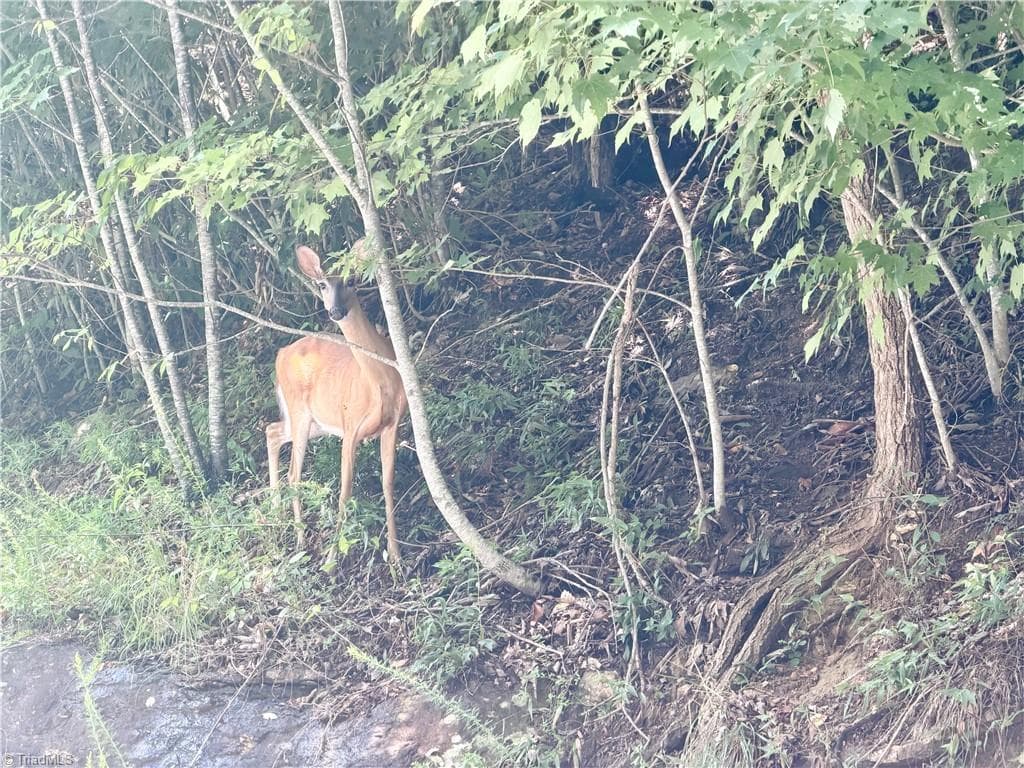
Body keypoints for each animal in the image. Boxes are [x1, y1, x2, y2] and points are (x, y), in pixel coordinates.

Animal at [266, 243, 407, 564]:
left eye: (351, 280)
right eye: (322, 285)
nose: (335, 311)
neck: (379, 385)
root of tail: (280, 353)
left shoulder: (393, 423)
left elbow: (388, 482)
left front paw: (395, 555)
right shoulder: (350, 425)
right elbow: (345, 490)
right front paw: (331, 559)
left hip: (316, 421)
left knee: (272, 431)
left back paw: (277, 514)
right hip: (300, 410)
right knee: (293, 473)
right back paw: (299, 538)